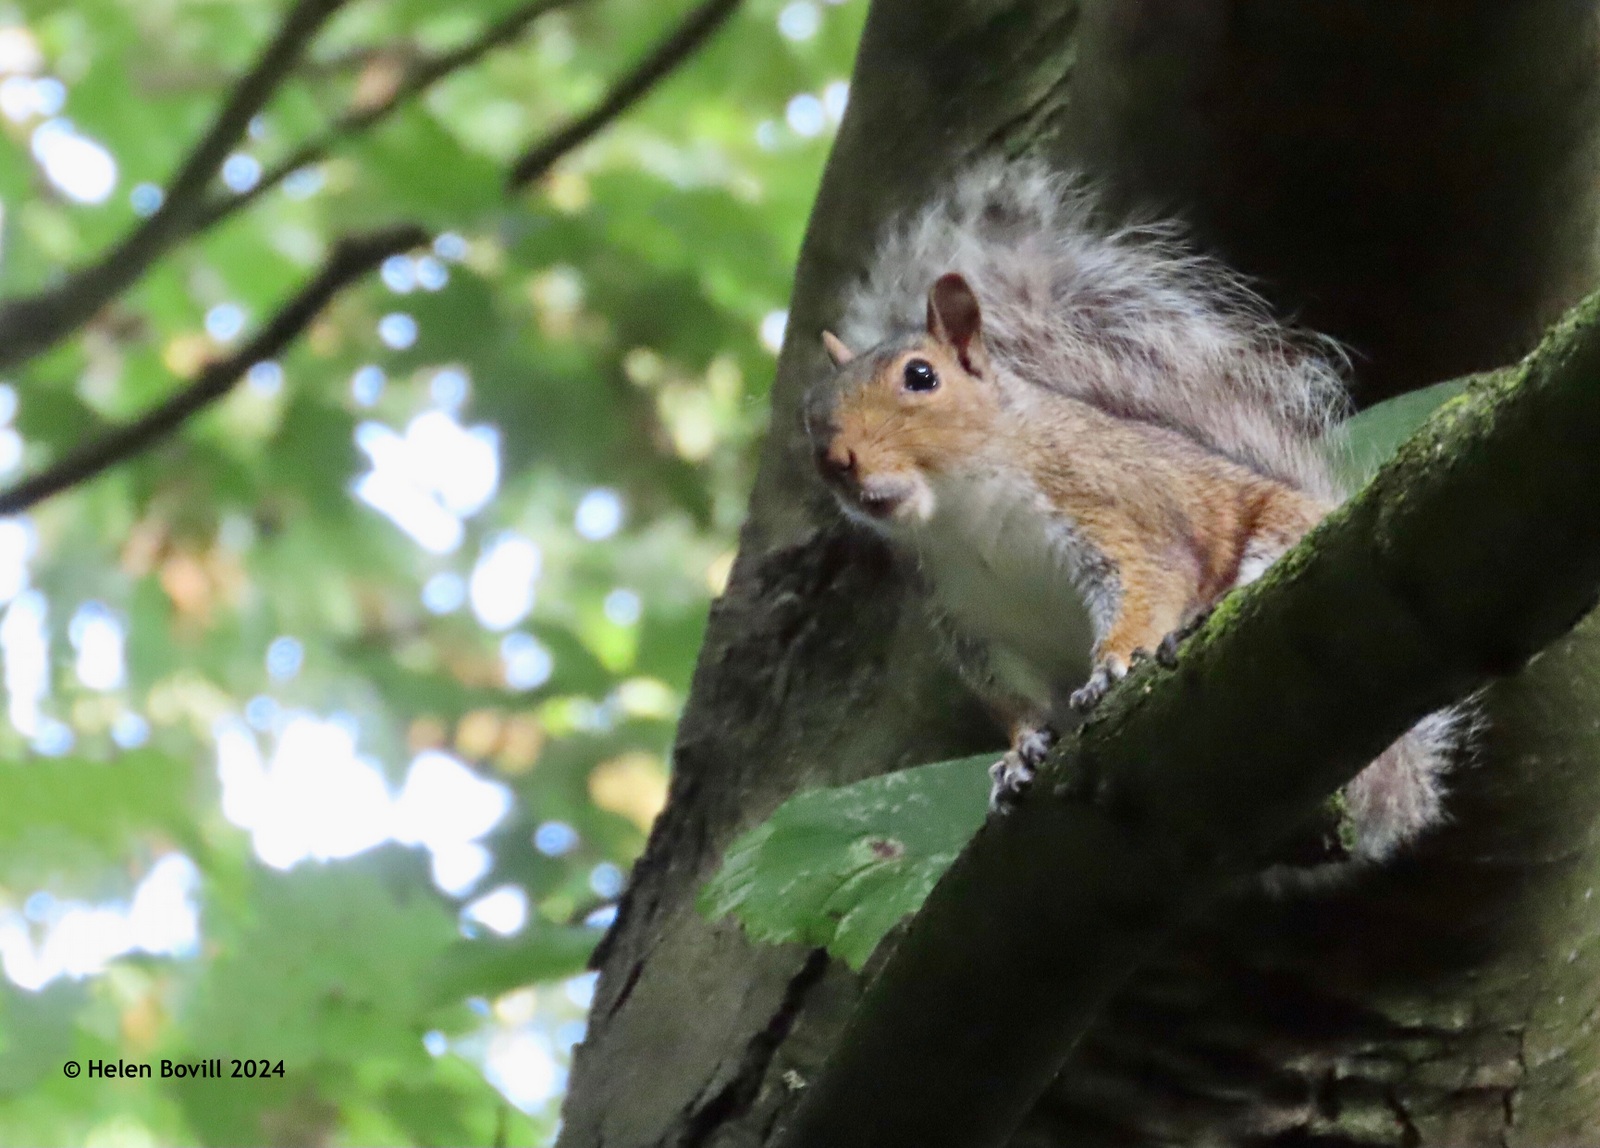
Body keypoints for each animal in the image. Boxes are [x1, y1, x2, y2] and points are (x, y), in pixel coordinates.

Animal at [806, 157, 1465, 869]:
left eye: (921, 377)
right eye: (811, 411)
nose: (837, 461)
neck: (965, 515)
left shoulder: (1119, 514)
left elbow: (1150, 586)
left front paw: (1115, 665)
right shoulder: (967, 620)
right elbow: (1012, 698)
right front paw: (1016, 755)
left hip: (1283, 540)